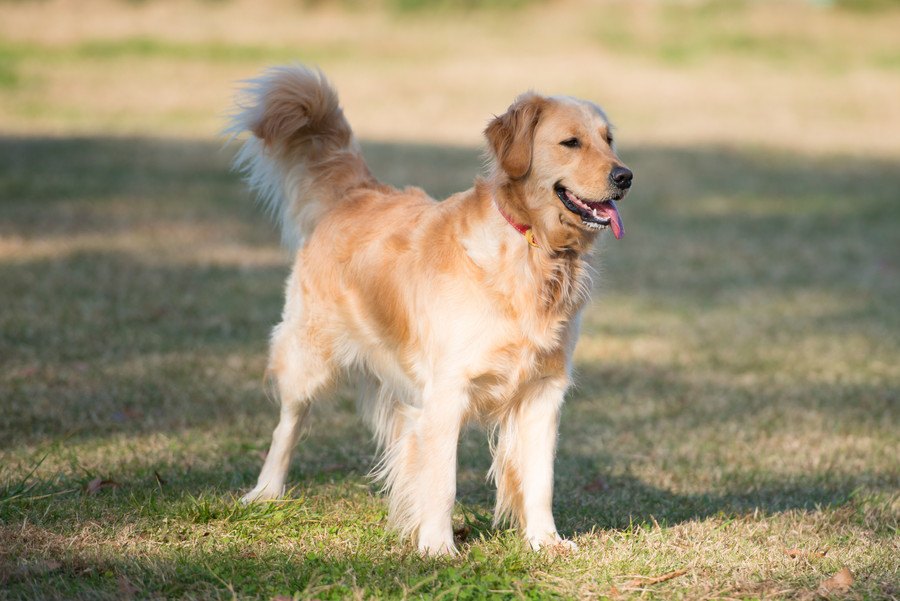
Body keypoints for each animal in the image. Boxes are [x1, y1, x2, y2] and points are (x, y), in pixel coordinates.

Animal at [232, 65, 632, 552]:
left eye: (608, 139)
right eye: (571, 142)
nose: (625, 176)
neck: (531, 248)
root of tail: (357, 192)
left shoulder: (544, 390)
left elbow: (541, 478)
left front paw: (546, 541)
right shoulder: (447, 390)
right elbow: (442, 480)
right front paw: (438, 547)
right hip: (308, 356)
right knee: (287, 423)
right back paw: (265, 492)